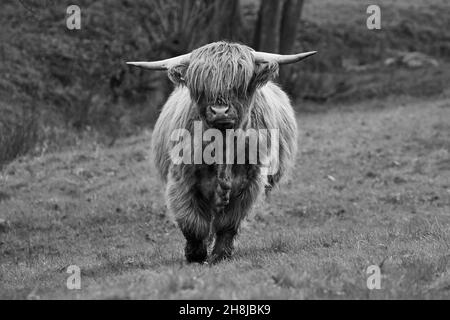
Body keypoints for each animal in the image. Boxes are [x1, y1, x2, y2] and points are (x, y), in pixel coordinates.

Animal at [126, 41, 316, 264]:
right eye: (201, 87)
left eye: (239, 85)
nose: (219, 111)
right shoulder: (182, 179)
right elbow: (192, 222)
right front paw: (195, 254)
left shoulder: (249, 184)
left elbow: (228, 224)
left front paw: (220, 255)